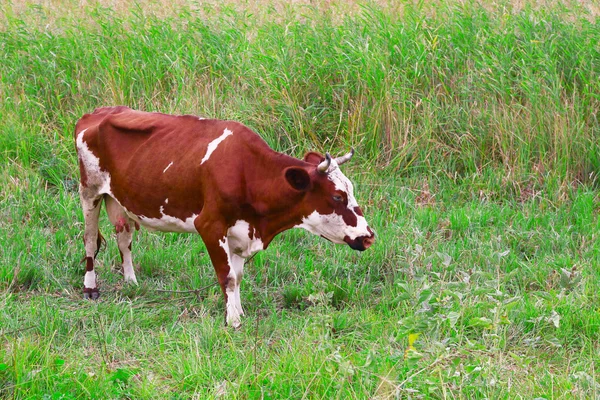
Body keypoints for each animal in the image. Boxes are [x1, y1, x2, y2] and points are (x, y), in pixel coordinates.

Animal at [75, 107, 376, 328]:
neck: (247, 171)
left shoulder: (241, 231)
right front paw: (232, 321)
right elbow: (227, 276)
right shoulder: (210, 226)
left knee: (124, 238)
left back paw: (131, 282)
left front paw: (238, 311)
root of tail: (98, 112)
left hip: (118, 200)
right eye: (337, 197)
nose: (369, 237)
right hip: (89, 192)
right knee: (89, 240)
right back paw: (90, 288)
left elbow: (238, 275)